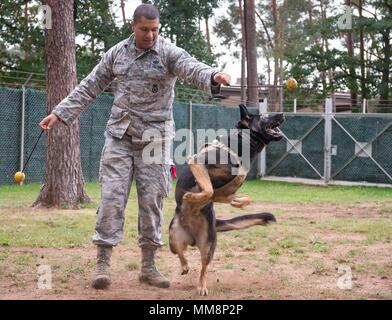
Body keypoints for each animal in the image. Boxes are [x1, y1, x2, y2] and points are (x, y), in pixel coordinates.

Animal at [167, 104, 284, 296]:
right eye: (264, 116)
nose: (282, 114)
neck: (243, 145)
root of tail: (192, 237)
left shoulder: (224, 191)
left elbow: (234, 196)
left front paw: (239, 203)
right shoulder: (198, 163)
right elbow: (208, 189)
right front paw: (191, 196)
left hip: (207, 246)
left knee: (203, 267)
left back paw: (201, 285)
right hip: (173, 238)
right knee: (180, 253)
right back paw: (185, 266)